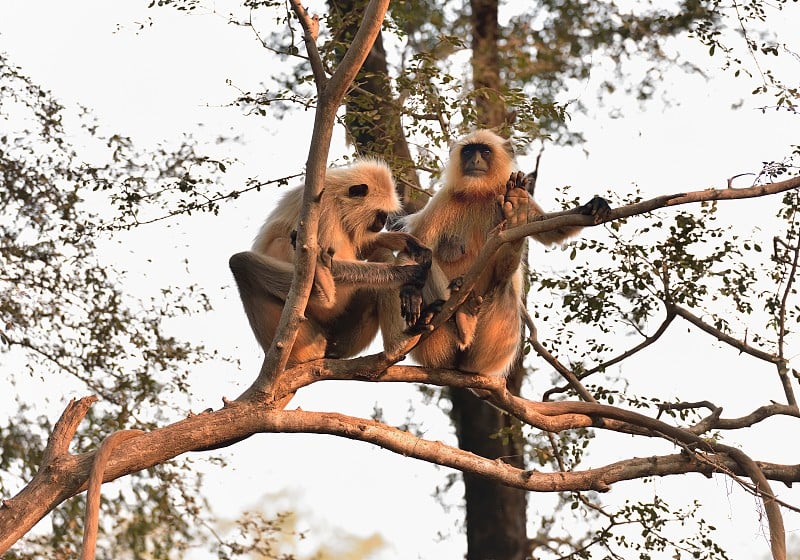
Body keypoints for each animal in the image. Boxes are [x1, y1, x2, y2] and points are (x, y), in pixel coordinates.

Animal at [230, 159, 432, 368]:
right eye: (380, 214)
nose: (383, 222)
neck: (337, 198)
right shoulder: (322, 208)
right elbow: (331, 264)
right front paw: (408, 273)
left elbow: (362, 246)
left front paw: (411, 244)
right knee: (243, 261)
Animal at [382, 129, 612, 378]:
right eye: (468, 152)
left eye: (484, 151)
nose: (475, 161)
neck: (478, 194)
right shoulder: (443, 199)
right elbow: (417, 248)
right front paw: (410, 293)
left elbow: (549, 229)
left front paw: (593, 206)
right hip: (433, 346)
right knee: (429, 263)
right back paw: (455, 318)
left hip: (492, 353)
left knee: (505, 283)